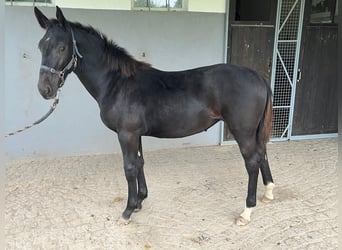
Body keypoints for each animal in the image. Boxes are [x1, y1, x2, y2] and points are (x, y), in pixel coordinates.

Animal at [34, 7, 276, 227]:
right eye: (40, 46)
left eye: (62, 47)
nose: (45, 90)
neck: (117, 83)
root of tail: (257, 75)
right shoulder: (136, 134)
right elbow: (140, 163)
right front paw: (140, 201)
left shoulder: (126, 134)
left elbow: (130, 168)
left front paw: (128, 211)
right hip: (253, 132)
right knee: (262, 154)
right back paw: (269, 192)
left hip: (242, 131)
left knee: (252, 162)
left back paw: (246, 212)